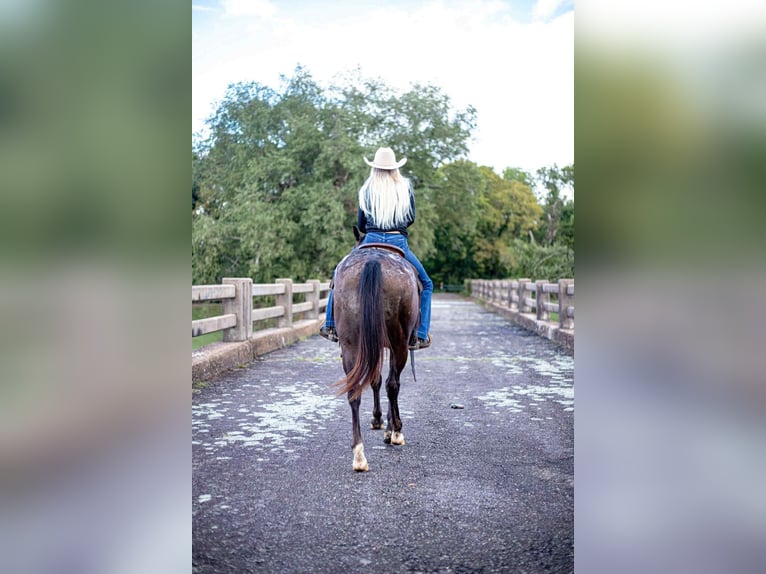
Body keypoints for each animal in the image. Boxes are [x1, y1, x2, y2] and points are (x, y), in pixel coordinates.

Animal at [332, 235, 420, 472]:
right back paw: (397, 431)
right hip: (400, 344)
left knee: (354, 391)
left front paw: (379, 420)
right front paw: (389, 427)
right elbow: (387, 382)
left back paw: (359, 455)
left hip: (351, 345)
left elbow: (375, 380)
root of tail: (373, 260)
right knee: (393, 385)